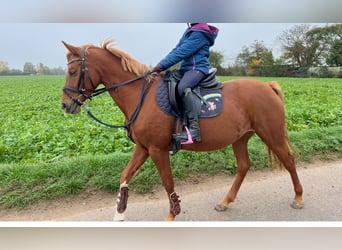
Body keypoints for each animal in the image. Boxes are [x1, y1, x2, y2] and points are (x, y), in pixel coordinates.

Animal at [60, 39, 304, 221]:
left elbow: (168, 182)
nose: (65, 105)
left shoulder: (157, 150)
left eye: (72, 71)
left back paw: (299, 198)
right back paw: (225, 202)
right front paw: (120, 212)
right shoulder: (143, 148)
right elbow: (125, 175)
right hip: (241, 138)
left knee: (289, 161)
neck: (141, 96)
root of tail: (268, 86)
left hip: (271, 134)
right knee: (244, 166)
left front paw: (172, 214)